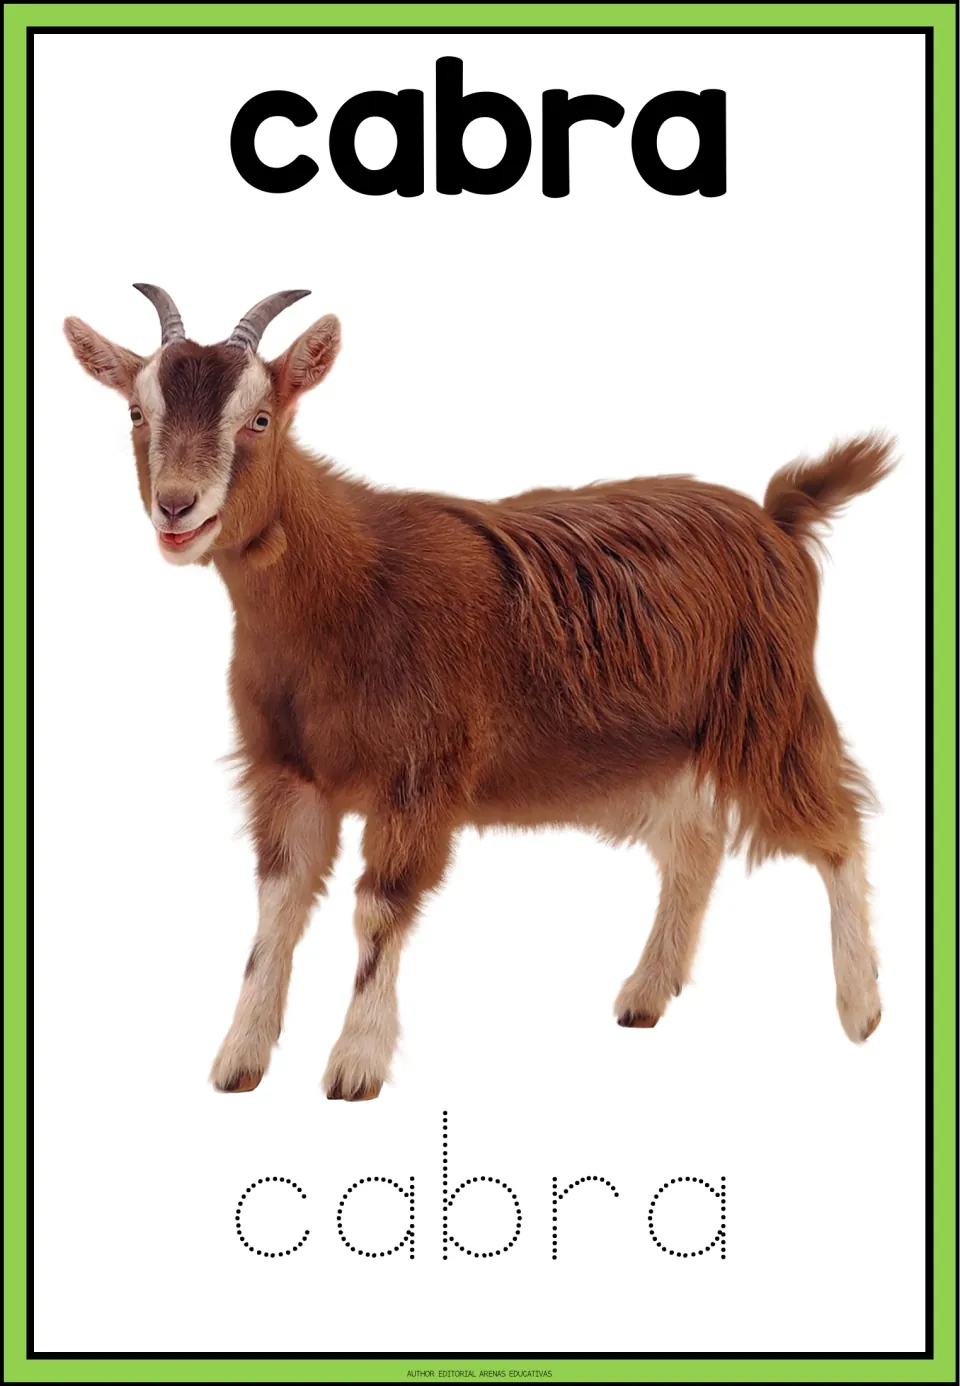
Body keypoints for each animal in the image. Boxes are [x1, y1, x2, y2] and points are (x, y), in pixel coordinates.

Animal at [65, 286, 893, 1100]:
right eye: (137, 413)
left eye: (260, 419)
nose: (177, 507)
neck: (347, 589)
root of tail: (779, 520)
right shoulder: (286, 771)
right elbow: (277, 908)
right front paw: (240, 1057)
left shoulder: (420, 771)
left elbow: (378, 909)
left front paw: (356, 1064)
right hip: (659, 749)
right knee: (695, 845)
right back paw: (646, 994)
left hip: (769, 711)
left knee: (838, 827)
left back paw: (861, 1008)